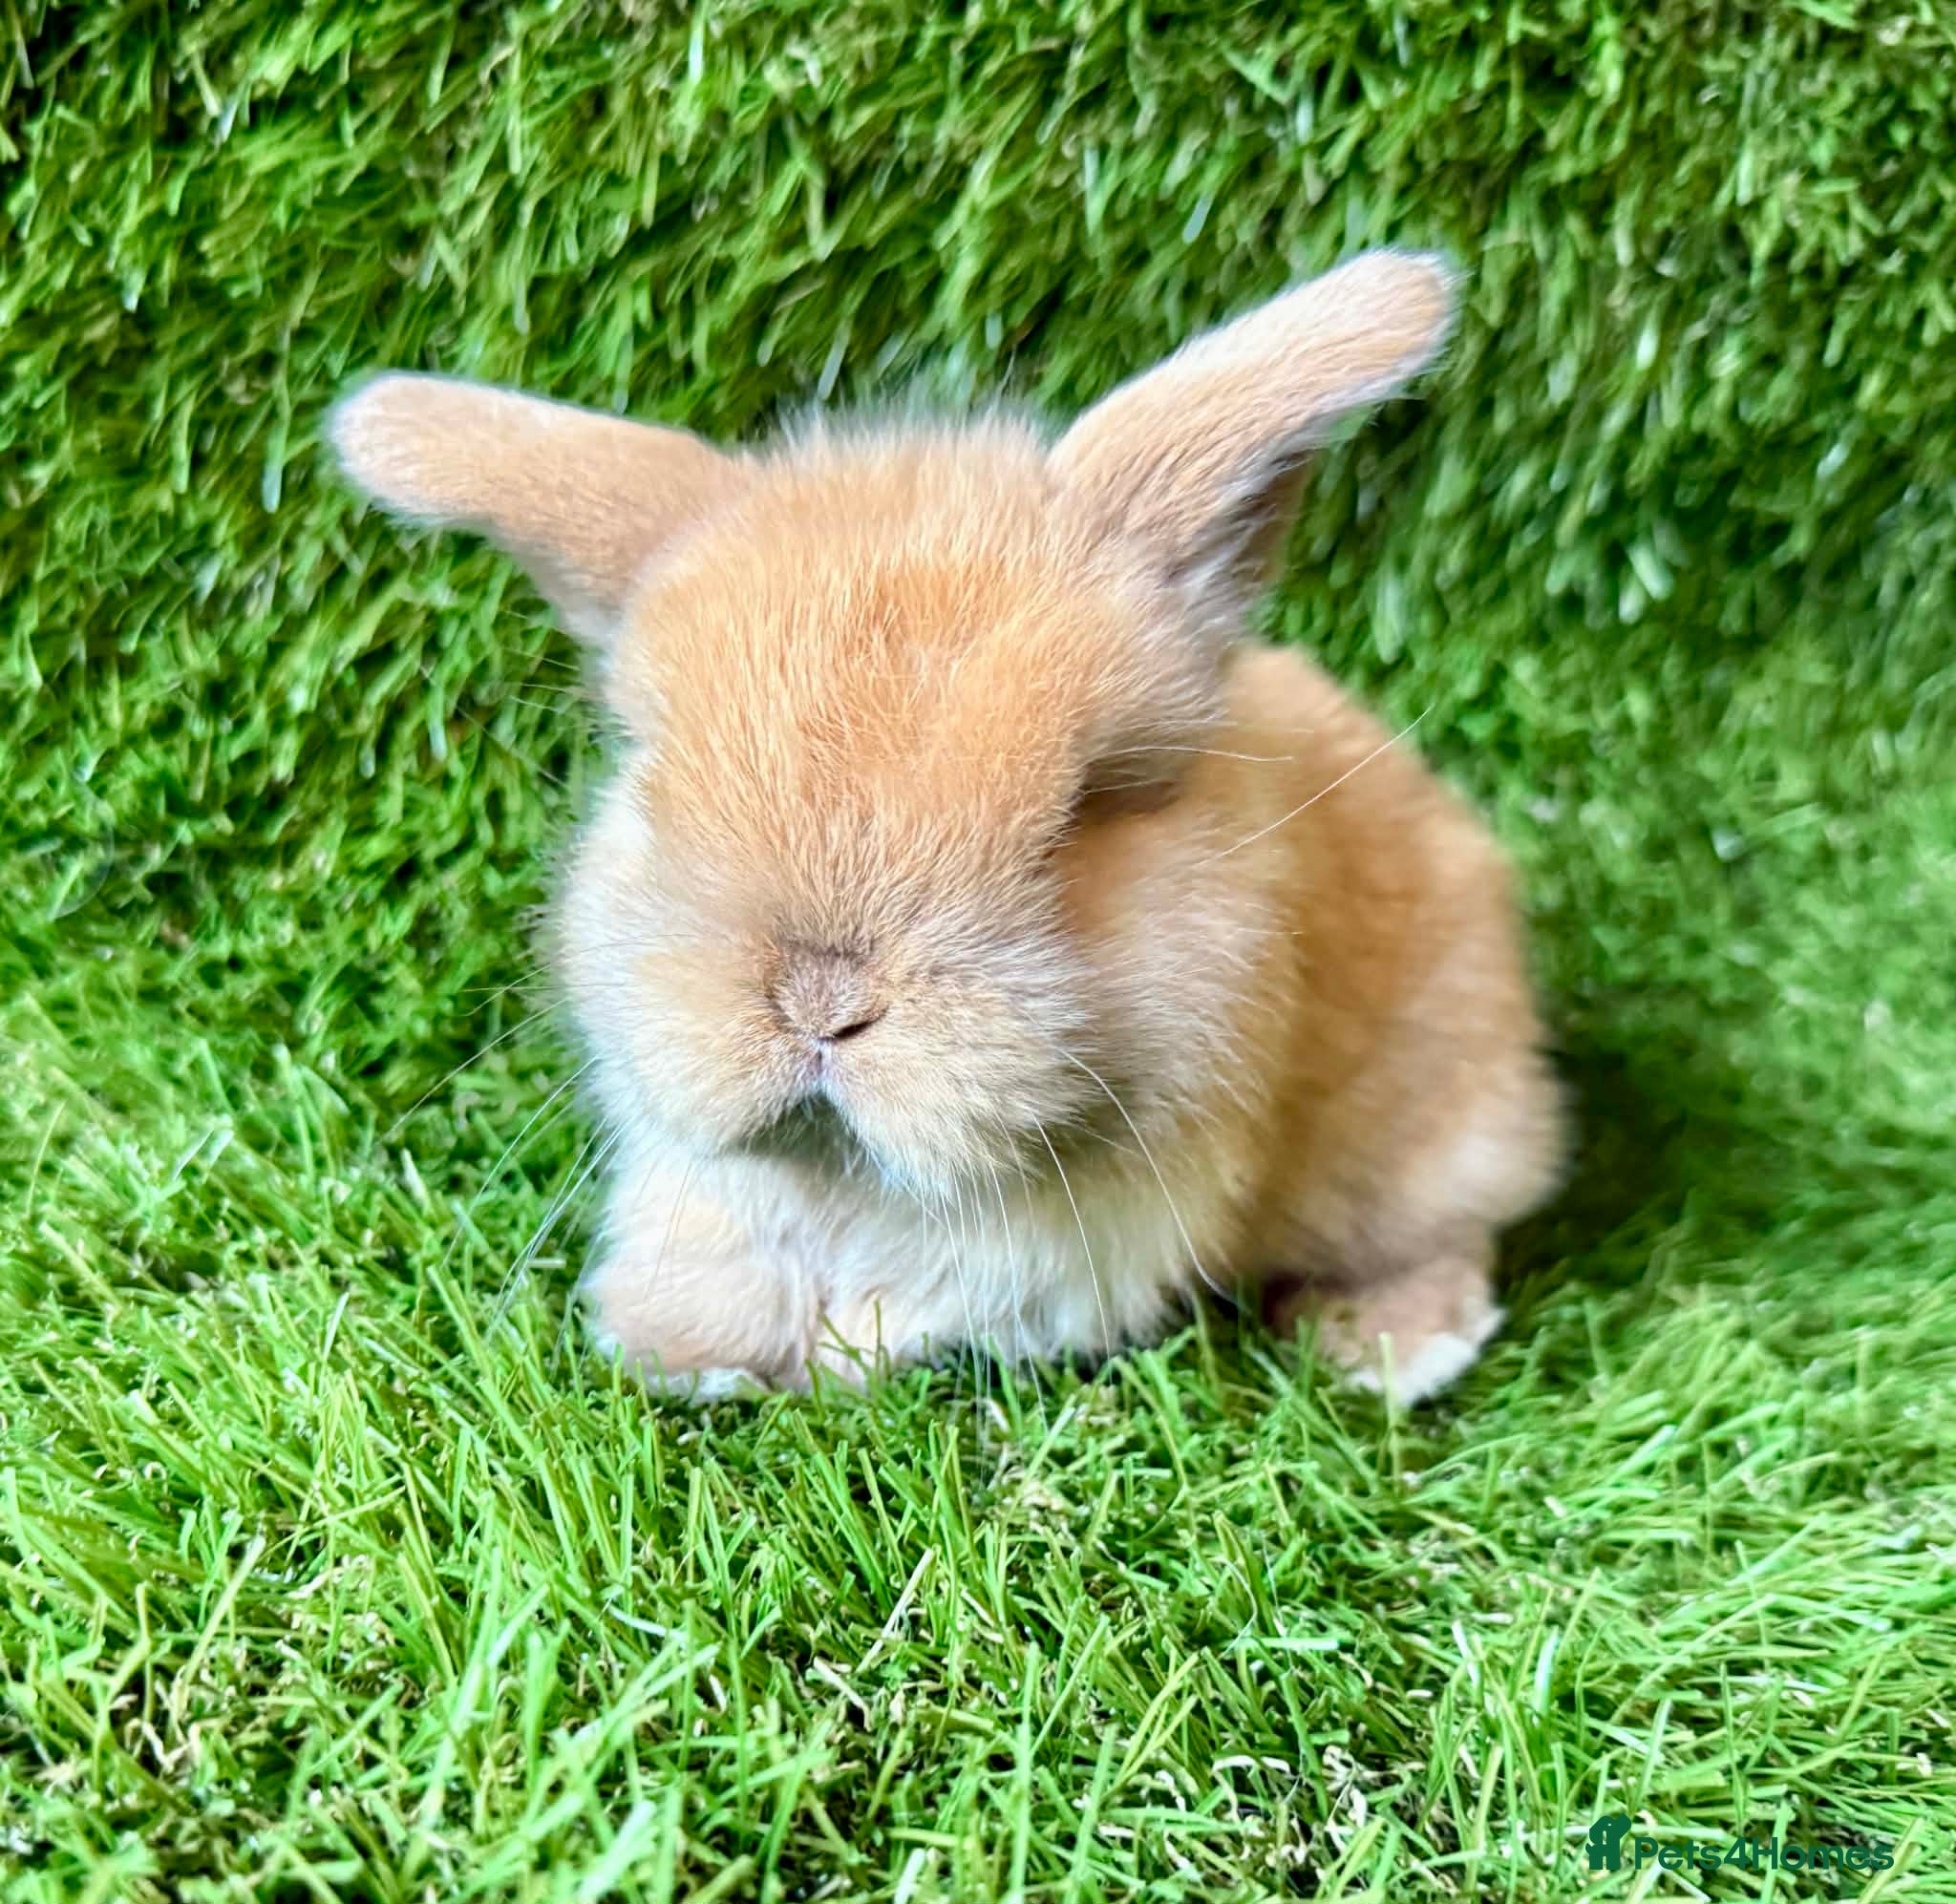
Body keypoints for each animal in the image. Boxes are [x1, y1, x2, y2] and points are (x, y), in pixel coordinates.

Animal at [330, 249, 1566, 1406]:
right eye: (650, 771)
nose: (820, 1000)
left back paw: (1390, 1349)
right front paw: (681, 1351)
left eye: (1084, 807)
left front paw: (826, 1360)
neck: (848, 1178)